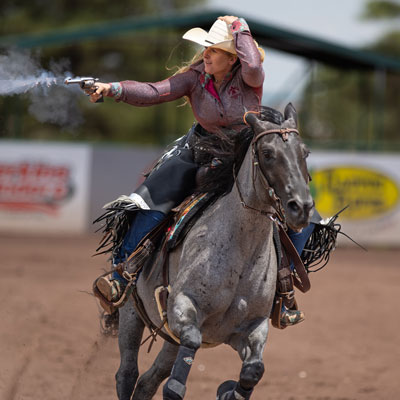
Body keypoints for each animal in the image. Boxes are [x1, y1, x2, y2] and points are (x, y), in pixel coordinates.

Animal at [114, 104, 314, 400]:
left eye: (305, 152)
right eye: (267, 153)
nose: (301, 207)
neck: (241, 253)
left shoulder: (251, 328)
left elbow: (253, 371)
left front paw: (228, 391)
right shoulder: (182, 307)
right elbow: (181, 370)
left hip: (168, 338)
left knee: (148, 381)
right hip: (131, 313)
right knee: (127, 374)